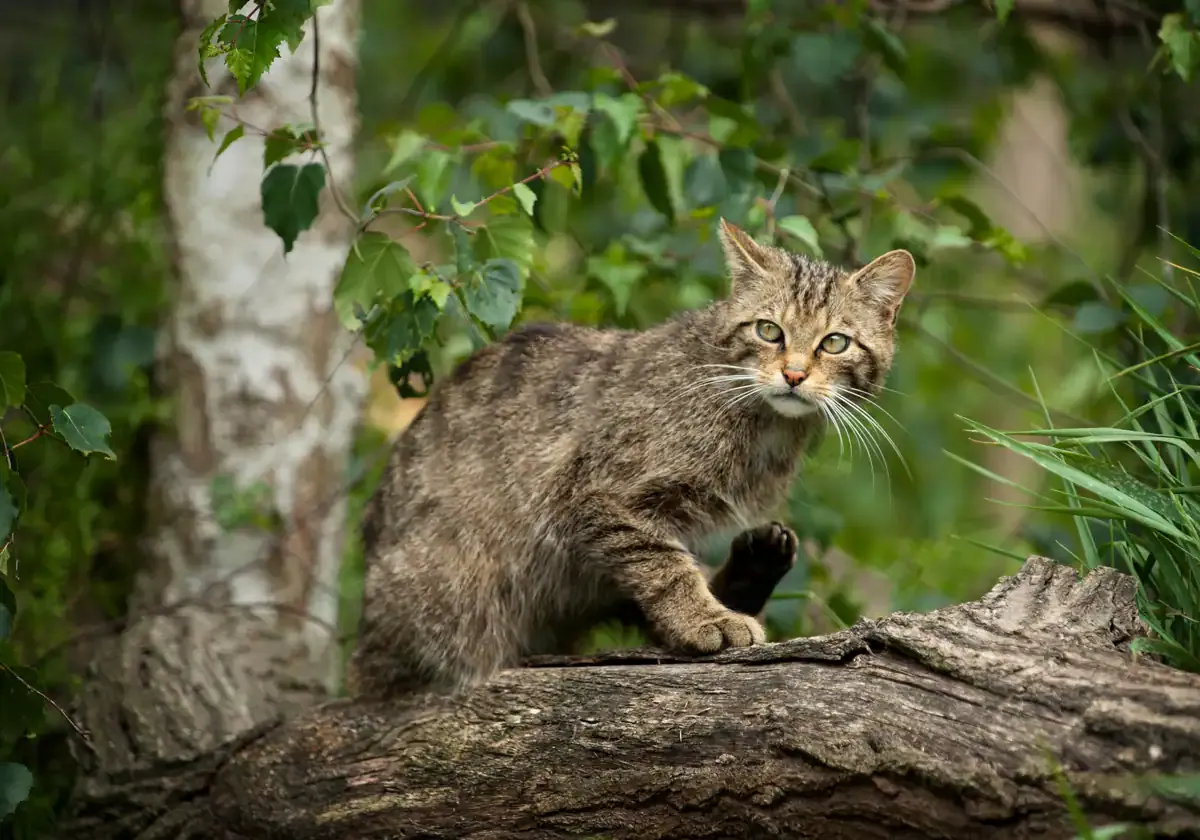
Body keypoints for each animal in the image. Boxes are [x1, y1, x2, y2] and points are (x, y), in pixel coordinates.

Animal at [350, 216, 912, 696]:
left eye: (834, 342)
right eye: (768, 330)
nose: (793, 374)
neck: (763, 426)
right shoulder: (599, 497)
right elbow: (664, 567)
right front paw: (705, 619)